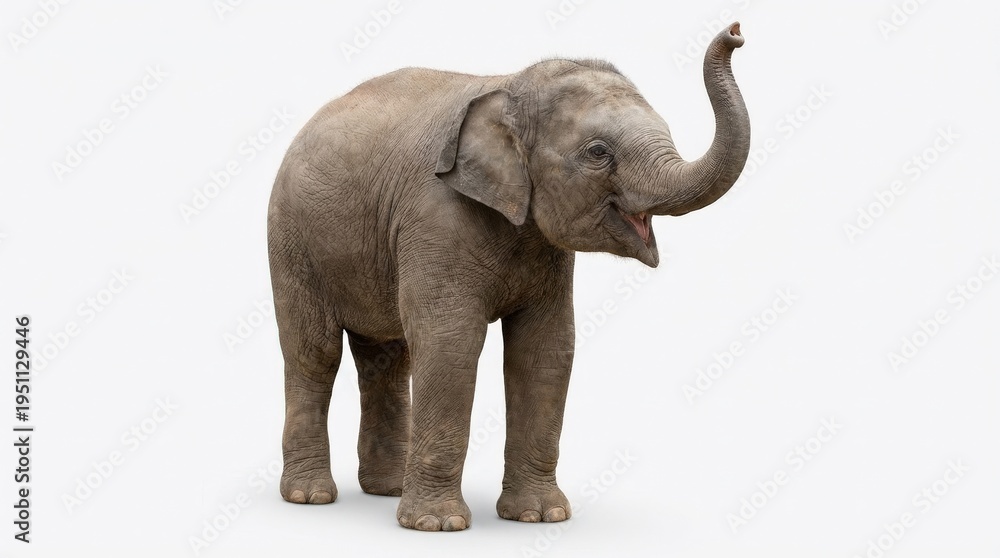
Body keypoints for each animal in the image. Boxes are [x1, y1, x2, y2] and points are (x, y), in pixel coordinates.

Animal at [266, 23, 750, 531]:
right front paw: (439, 525)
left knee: (387, 358)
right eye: (598, 152)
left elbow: (545, 348)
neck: (509, 85)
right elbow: (450, 343)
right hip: (292, 241)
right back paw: (310, 496)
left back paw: (387, 490)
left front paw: (542, 516)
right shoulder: (434, 218)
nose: (736, 32)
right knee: (314, 352)